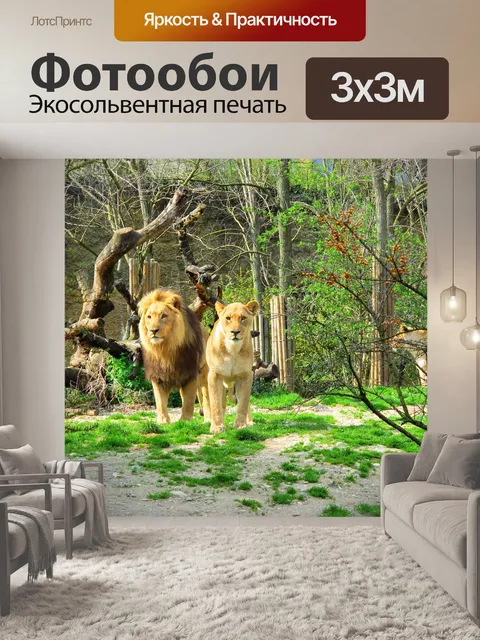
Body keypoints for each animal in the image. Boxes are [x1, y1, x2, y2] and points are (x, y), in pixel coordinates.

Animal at [138, 289, 210, 424]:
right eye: (149, 317)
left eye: (164, 316)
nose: (153, 330)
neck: (165, 349)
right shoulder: (158, 376)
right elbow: (160, 402)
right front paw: (163, 421)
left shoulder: (190, 373)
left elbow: (189, 401)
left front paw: (185, 421)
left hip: (205, 372)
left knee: (207, 395)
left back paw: (208, 419)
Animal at [206, 300, 259, 434]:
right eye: (228, 318)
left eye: (243, 318)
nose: (235, 332)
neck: (233, 349)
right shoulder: (214, 375)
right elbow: (215, 403)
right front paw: (217, 427)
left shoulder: (246, 375)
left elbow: (243, 403)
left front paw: (240, 425)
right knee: (222, 403)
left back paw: (250, 422)